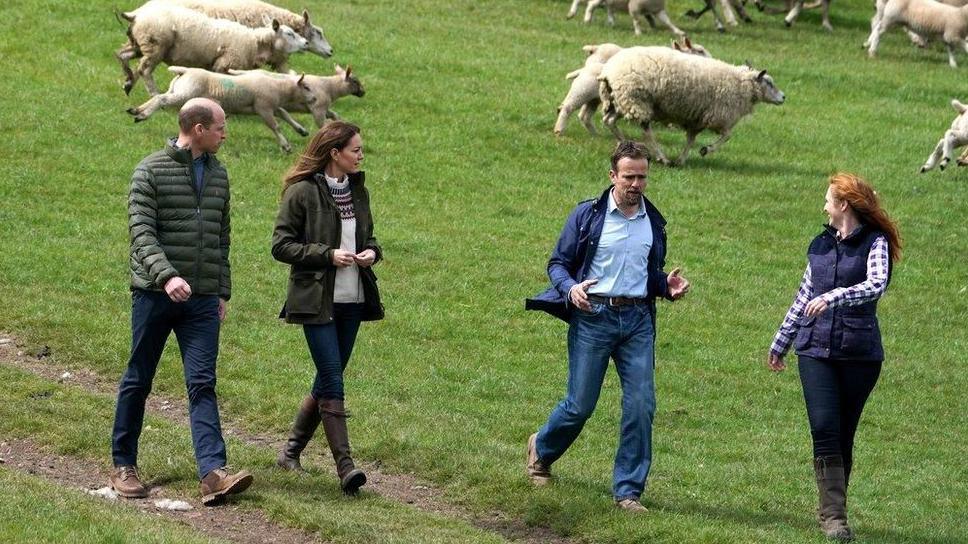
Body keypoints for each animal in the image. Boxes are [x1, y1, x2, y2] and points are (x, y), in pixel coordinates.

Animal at [116, 4, 310, 96]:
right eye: (289, 34)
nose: (306, 42)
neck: (254, 43)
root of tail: (136, 15)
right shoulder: (224, 63)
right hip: (155, 45)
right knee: (145, 70)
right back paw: (153, 92)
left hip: (139, 44)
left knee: (122, 55)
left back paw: (128, 81)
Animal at [552, 38, 712, 136]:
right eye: (700, 50)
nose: (712, 59)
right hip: (581, 91)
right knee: (567, 108)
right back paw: (559, 130)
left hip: (593, 98)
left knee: (584, 115)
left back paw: (596, 135)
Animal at [596, 47, 788, 165]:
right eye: (769, 83)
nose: (783, 97)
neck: (741, 85)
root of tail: (608, 70)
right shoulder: (718, 116)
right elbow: (727, 136)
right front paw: (705, 150)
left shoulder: (696, 119)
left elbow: (690, 140)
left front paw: (682, 160)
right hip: (636, 99)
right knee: (646, 130)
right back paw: (661, 157)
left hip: (619, 100)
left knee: (609, 120)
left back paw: (624, 145)